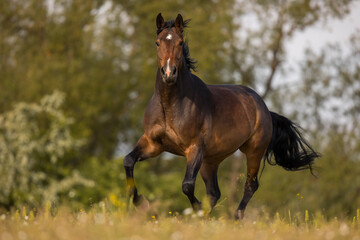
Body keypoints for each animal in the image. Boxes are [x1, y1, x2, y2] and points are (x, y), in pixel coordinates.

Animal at [124, 13, 320, 219]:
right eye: (157, 42)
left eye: (180, 42)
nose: (169, 73)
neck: (170, 106)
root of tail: (264, 108)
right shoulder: (153, 144)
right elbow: (128, 161)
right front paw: (140, 202)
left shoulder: (194, 148)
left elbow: (187, 185)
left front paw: (195, 208)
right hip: (210, 160)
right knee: (214, 192)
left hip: (253, 151)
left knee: (250, 185)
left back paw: (235, 217)